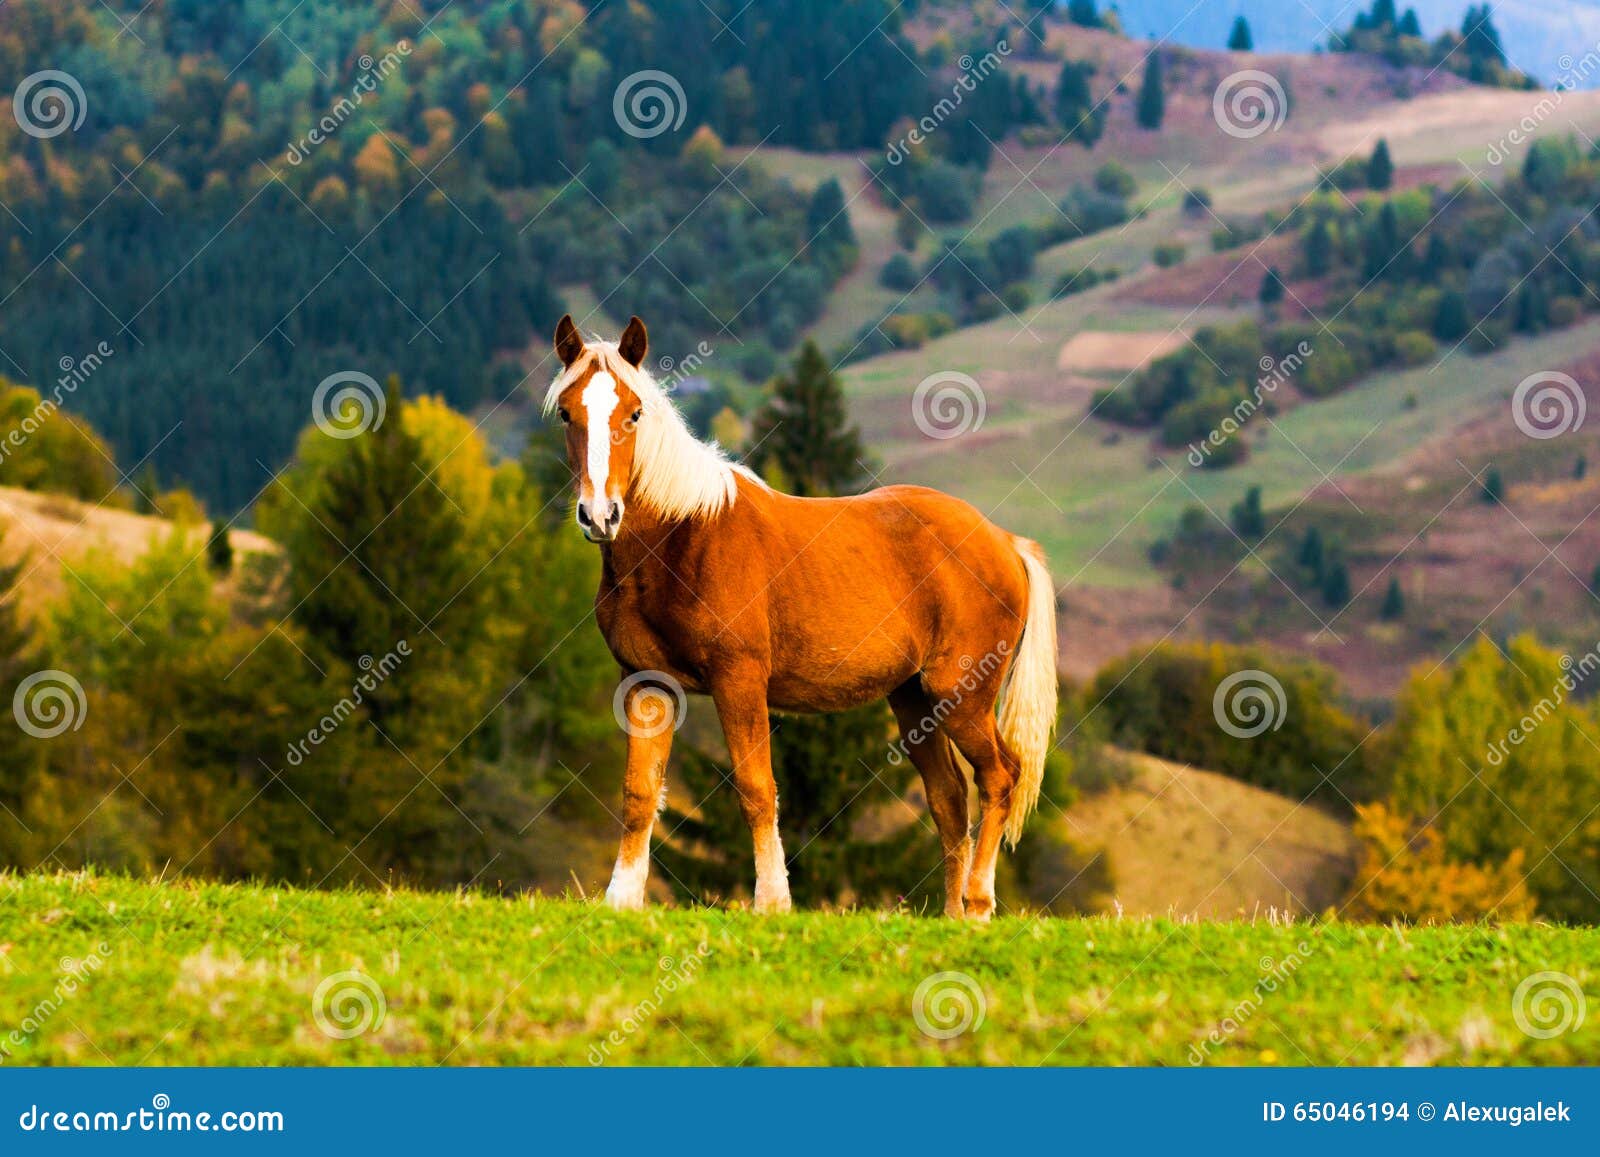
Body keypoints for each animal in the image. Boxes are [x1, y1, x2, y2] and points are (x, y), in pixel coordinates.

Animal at [546, 313, 1058, 919]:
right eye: (567, 413)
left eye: (633, 413)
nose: (600, 515)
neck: (683, 536)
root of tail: (1004, 542)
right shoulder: (646, 684)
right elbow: (639, 791)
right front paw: (622, 899)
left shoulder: (739, 682)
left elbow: (756, 787)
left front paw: (772, 900)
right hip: (915, 701)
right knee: (949, 799)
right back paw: (953, 914)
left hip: (962, 697)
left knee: (1000, 777)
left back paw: (977, 905)